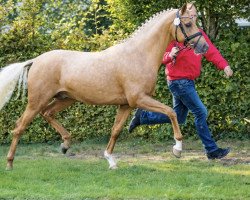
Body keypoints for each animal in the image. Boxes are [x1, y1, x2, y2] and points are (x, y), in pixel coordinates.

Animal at [0, 2, 209, 170]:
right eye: (188, 24)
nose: (204, 46)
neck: (138, 55)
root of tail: (35, 61)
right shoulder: (139, 99)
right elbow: (171, 112)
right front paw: (177, 149)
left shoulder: (126, 104)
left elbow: (115, 131)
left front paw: (111, 161)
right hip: (37, 101)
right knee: (19, 127)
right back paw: (10, 164)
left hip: (66, 98)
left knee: (48, 114)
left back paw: (65, 145)